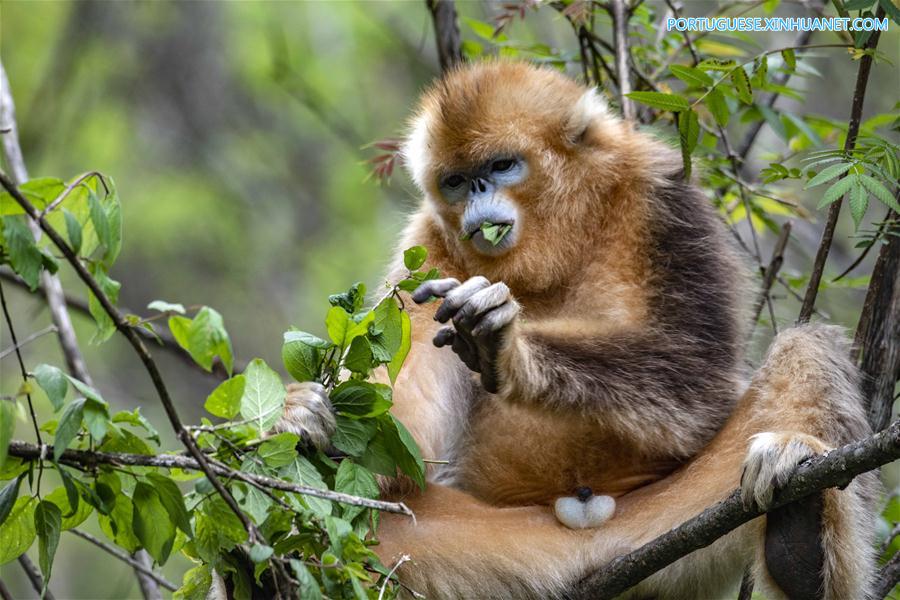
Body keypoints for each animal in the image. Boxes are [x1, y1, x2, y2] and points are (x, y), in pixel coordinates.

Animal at [275, 61, 878, 599]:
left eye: (502, 165)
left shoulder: (662, 196)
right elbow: (403, 447)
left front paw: (510, 350)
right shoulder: (427, 255)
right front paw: (308, 418)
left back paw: (799, 525)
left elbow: (695, 385)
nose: (477, 193)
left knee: (807, 344)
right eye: (456, 181)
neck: (556, 247)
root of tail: (586, 530)